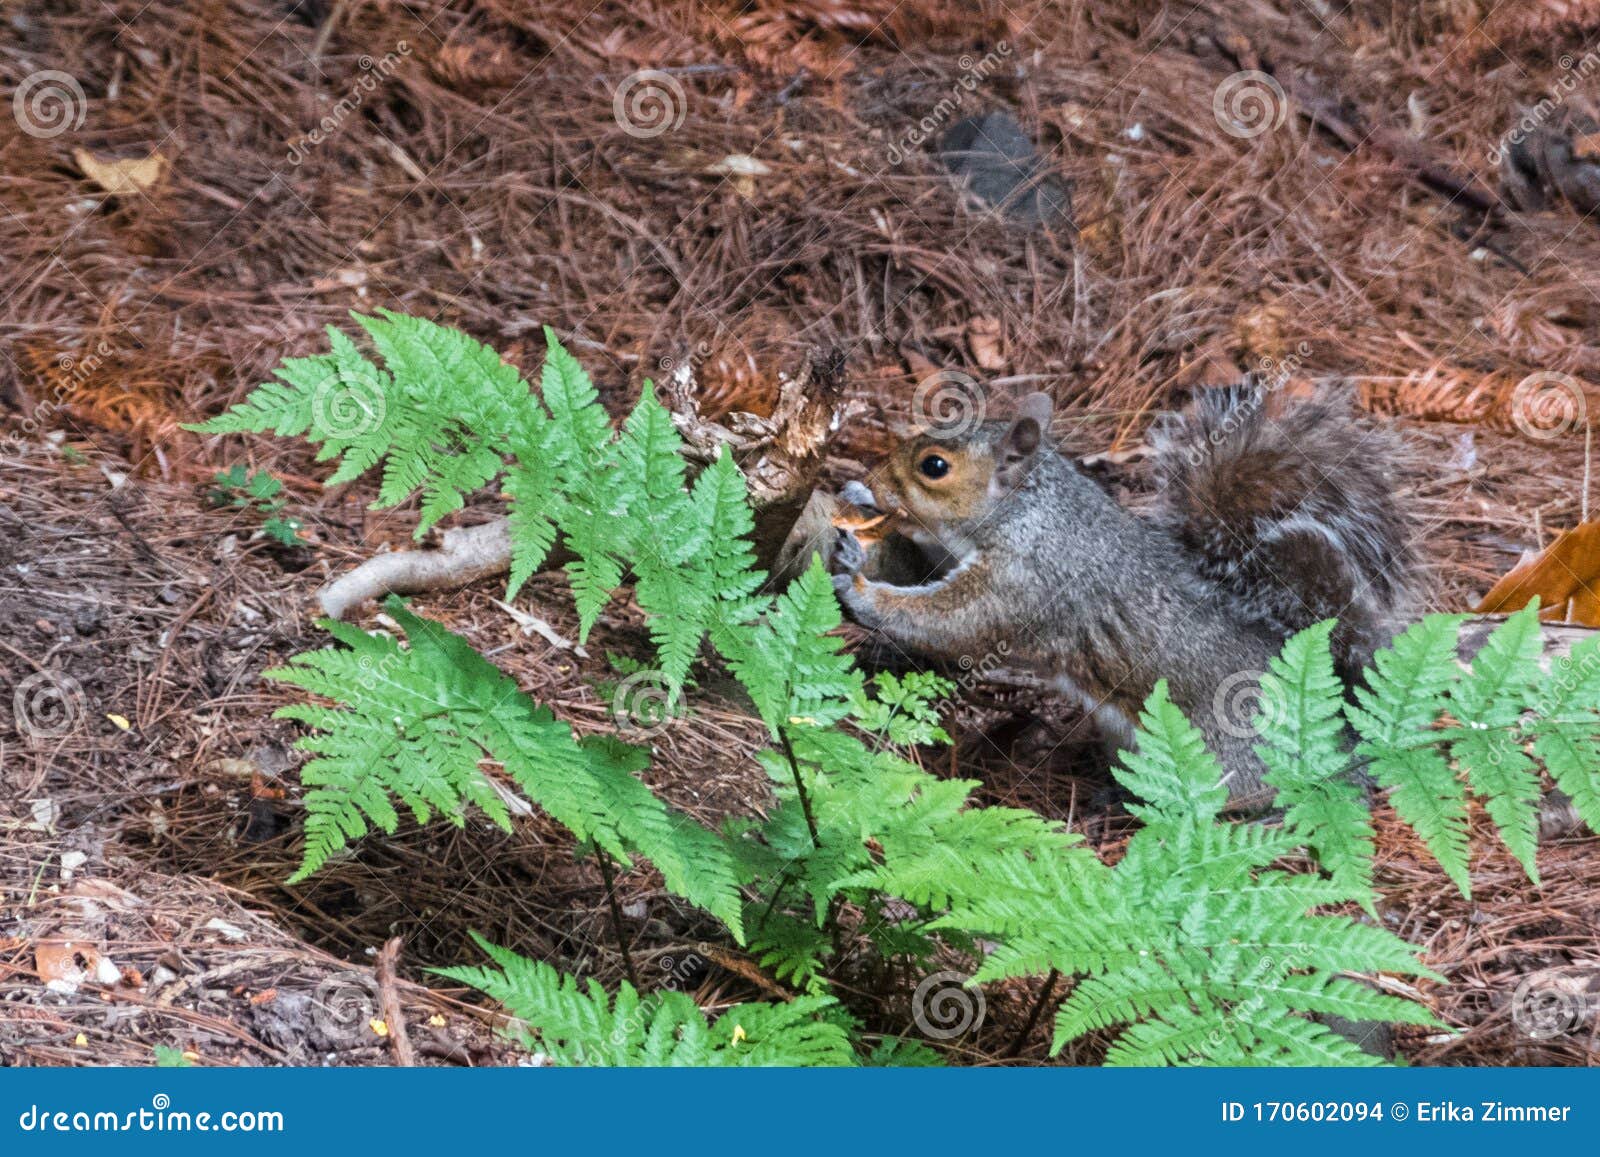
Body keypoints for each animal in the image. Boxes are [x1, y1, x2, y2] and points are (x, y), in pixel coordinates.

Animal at [832, 384, 1420, 809]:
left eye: (934, 466)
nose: (873, 478)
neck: (1030, 512)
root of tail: (1339, 735)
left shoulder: (1027, 582)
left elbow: (953, 622)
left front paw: (860, 588)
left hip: (1229, 755)